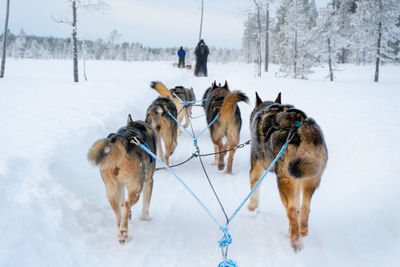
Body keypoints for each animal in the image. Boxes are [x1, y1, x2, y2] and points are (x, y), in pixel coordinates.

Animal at [87, 114, 156, 245]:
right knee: (128, 204)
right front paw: (145, 217)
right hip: (136, 187)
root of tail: (119, 141)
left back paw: (121, 231)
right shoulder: (149, 181)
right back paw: (124, 231)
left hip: (112, 189)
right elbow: (146, 204)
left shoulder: (121, 185)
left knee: (119, 209)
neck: (138, 126)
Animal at [247, 92, 328, 253]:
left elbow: (254, 188)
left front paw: (252, 207)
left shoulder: (256, 168)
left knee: (291, 210)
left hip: (285, 180)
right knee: (303, 208)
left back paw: (295, 241)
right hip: (309, 178)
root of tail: (301, 126)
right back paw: (301, 231)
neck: (268, 109)